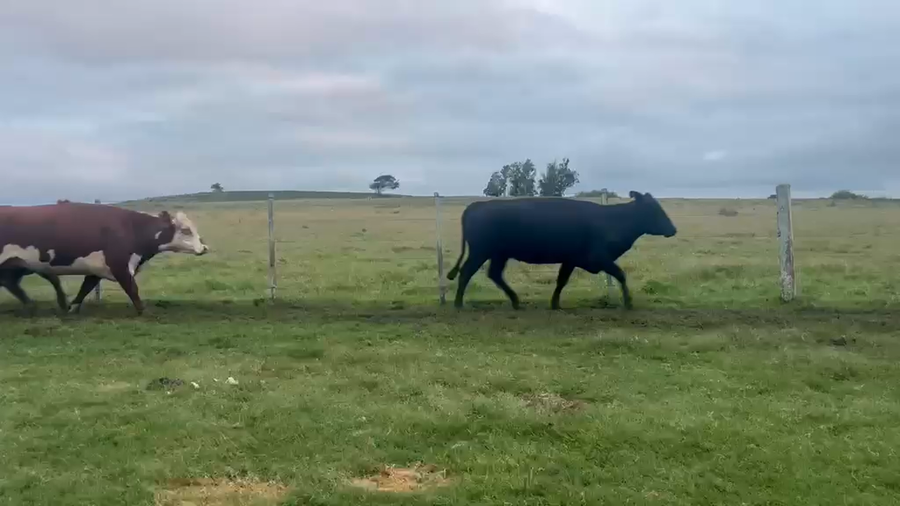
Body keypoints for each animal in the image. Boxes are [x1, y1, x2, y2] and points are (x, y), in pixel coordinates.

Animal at [0, 202, 209, 315]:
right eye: (186, 230)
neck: (132, 228)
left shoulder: (97, 269)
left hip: (15, 266)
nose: (204, 248)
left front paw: (72, 308)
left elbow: (85, 289)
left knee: (12, 284)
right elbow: (132, 289)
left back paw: (34, 305)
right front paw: (144, 311)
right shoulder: (119, 266)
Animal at [446, 191, 677, 310]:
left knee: (494, 274)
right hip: (480, 251)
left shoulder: (570, 259)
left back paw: (516, 301)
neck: (612, 220)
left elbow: (561, 281)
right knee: (466, 272)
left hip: (498, 254)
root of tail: (475, 205)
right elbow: (620, 274)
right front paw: (628, 303)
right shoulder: (599, 257)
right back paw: (458, 304)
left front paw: (555, 303)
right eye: (654, 209)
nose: (673, 229)